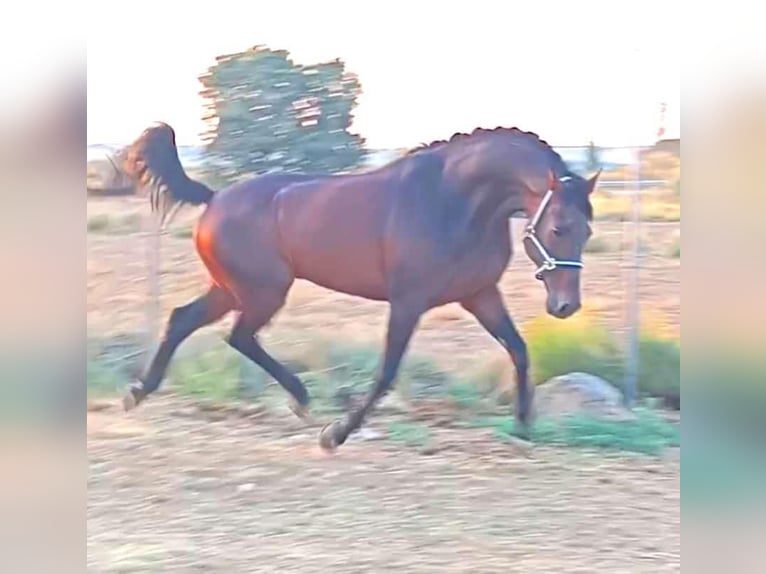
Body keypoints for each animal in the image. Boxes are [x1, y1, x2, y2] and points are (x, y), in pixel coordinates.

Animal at [114, 123, 598, 449]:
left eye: (587, 230)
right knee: (236, 335)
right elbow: (386, 372)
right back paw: (299, 399)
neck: (455, 201)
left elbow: (518, 349)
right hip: (262, 291)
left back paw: (140, 392)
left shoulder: (480, 295)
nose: (565, 305)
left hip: (233, 289)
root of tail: (214, 198)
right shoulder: (408, 302)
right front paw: (337, 434)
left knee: (189, 322)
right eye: (559, 228)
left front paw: (524, 426)